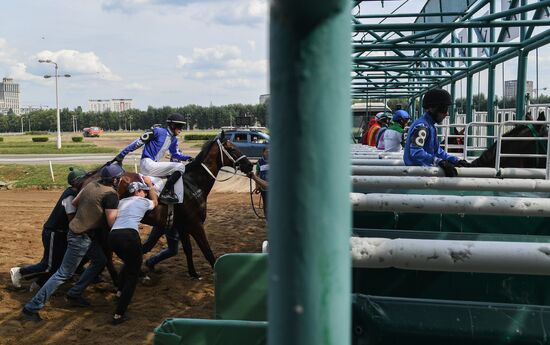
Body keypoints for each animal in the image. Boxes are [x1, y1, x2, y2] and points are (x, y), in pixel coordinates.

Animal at [82, 131, 254, 280]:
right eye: (232, 148)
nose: (249, 165)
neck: (193, 184)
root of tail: (91, 179)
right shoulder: (196, 224)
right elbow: (207, 251)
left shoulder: (183, 225)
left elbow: (188, 250)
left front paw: (193, 273)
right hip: (106, 226)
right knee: (108, 254)